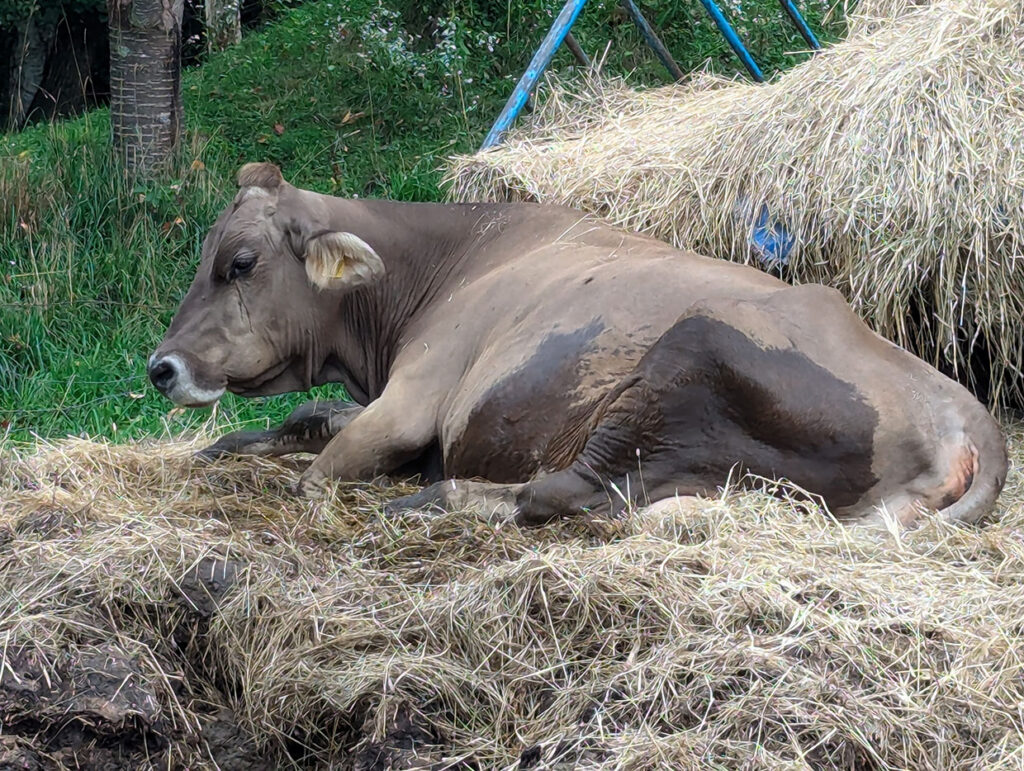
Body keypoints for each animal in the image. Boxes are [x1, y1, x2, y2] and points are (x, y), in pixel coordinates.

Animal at [148, 160, 1003, 524]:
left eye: (240, 262)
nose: (161, 367)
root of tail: (967, 414)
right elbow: (300, 420)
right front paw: (222, 447)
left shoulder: (410, 401)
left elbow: (315, 476)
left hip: (689, 357)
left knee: (556, 492)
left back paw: (436, 496)